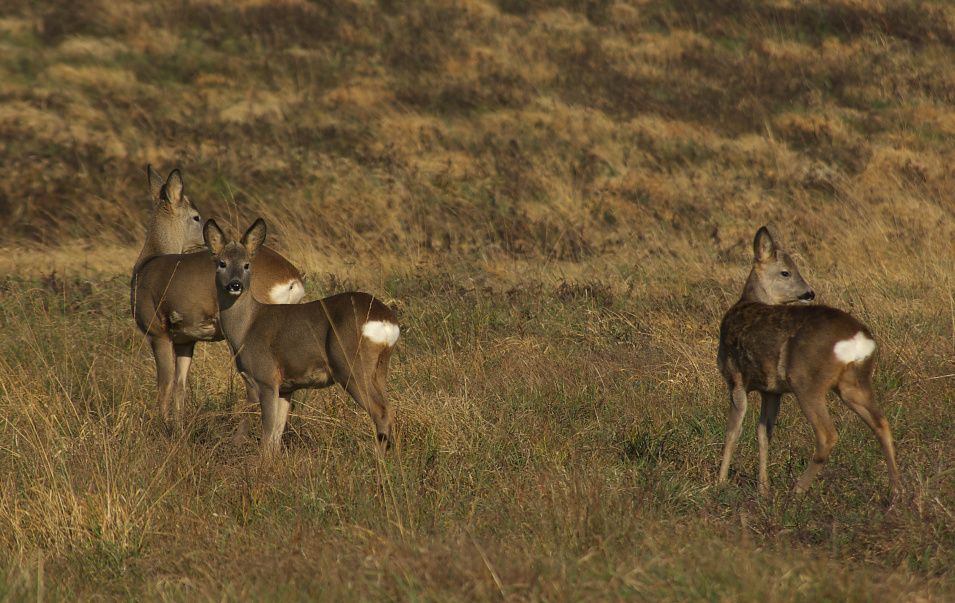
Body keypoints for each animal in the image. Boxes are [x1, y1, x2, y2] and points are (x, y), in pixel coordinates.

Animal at [133, 168, 304, 428]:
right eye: (196, 217)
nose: (209, 241)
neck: (147, 263)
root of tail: (293, 279)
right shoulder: (185, 340)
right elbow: (180, 385)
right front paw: (178, 427)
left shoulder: (157, 331)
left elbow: (165, 384)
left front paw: (162, 426)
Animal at [205, 219, 400, 456]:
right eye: (222, 263)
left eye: (246, 265)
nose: (235, 285)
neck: (246, 328)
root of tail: (385, 319)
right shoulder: (286, 387)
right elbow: (275, 438)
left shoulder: (266, 378)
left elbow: (267, 434)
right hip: (380, 367)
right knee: (389, 408)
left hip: (351, 365)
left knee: (381, 412)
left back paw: (377, 460)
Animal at [720, 224, 900, 498]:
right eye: (786, 272)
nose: (809, 293)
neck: (749, 301)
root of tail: (860, 338)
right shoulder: (772, 390)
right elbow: (763, 433)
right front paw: (763, 488)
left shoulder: (735, 378)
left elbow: (733, 431)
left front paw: (718, 482)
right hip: (855, 382)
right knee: (882, 423)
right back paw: (896, 490)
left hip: (806, 381)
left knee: (827, 435)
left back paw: (797, 490)